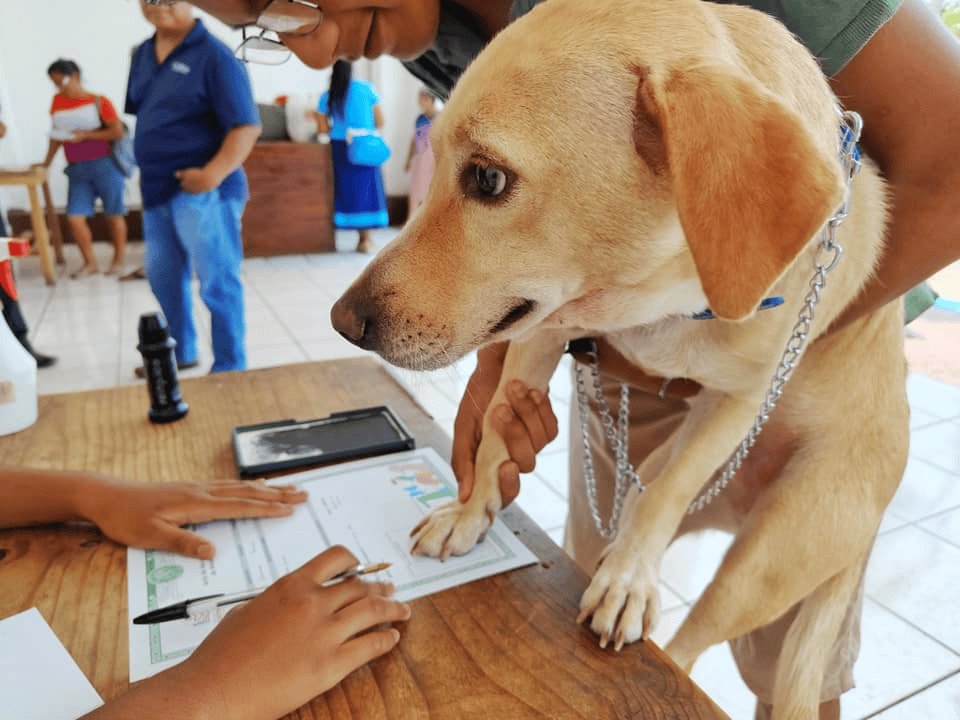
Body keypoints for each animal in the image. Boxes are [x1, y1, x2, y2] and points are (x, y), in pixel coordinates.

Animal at [330, 0, 908, 716]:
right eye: (431, 158)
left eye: (488, 177)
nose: (343, 322)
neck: (661, 302)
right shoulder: (544, 322)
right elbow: (493, 429)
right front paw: (470, 512)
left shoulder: (742, 399)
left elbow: (672, 488)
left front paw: (631, 578)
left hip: (767, 562)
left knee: (691, 638)